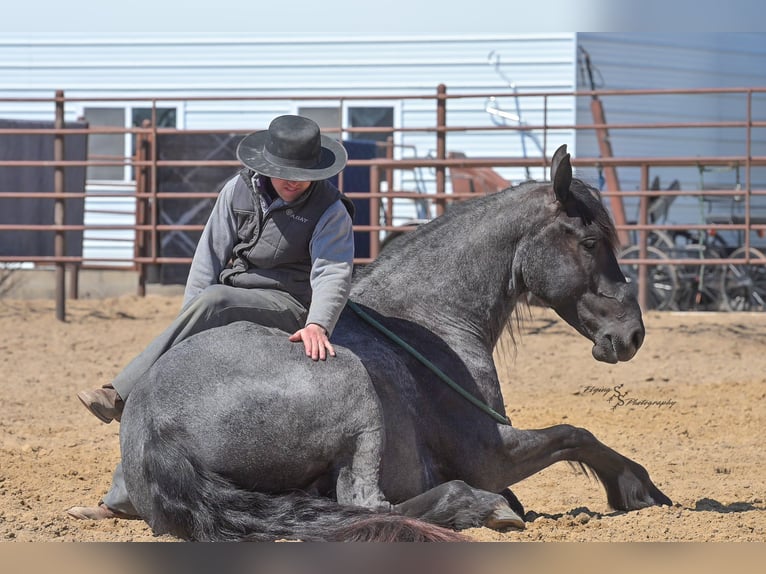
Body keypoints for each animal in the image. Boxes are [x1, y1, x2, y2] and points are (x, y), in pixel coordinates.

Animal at [119, 145, 671, 542]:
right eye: (590, 242)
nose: (632, 333)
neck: (429, 317)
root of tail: (155, 429)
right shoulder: (492, 454)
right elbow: (577, 434)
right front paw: (638, 487)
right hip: (354, 392)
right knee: (370, 505)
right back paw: (475, 505)